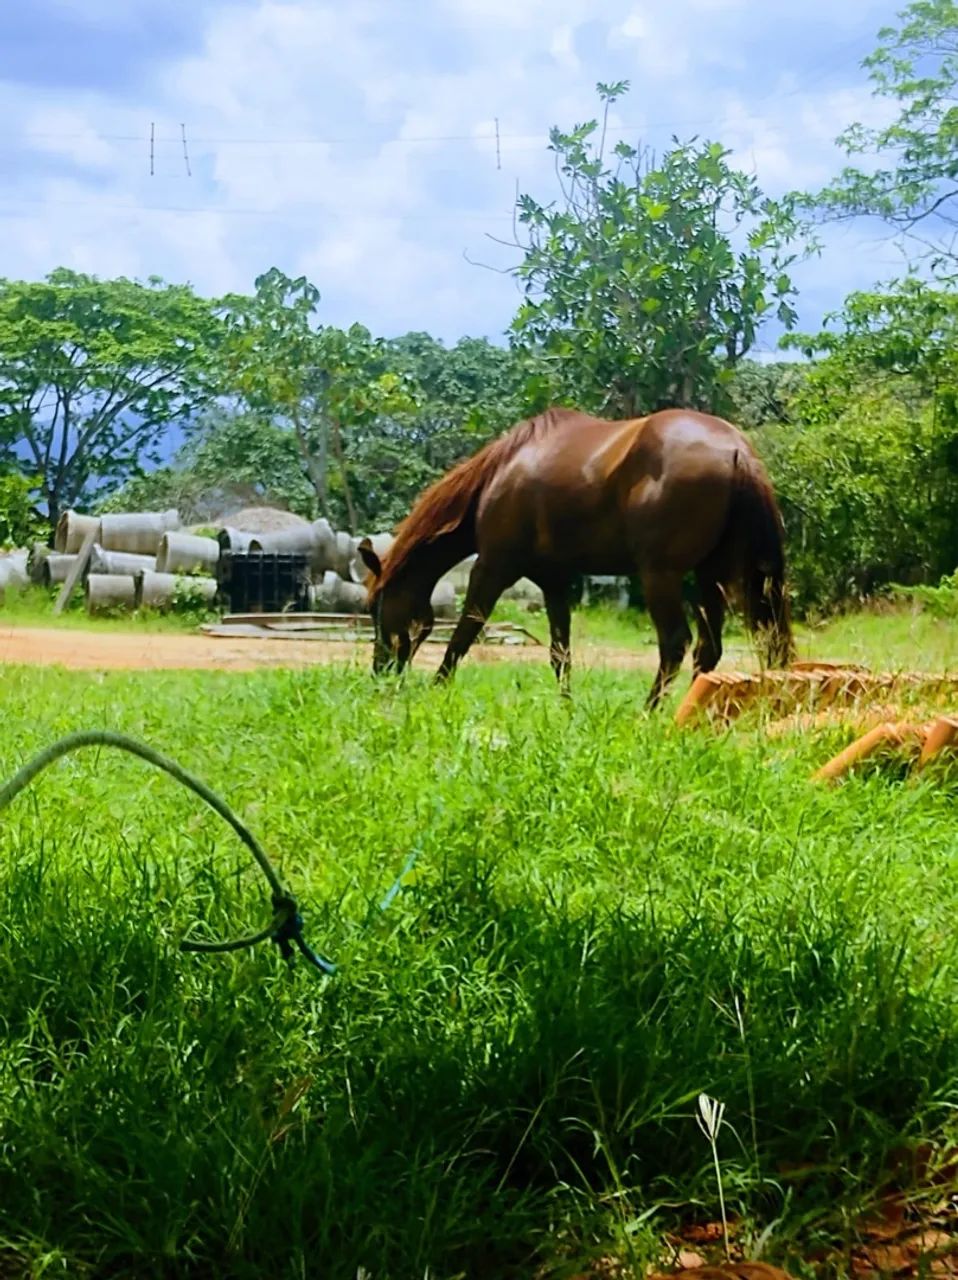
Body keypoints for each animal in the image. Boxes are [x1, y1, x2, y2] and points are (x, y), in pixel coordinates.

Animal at [358, 406, 794, 708]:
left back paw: (648, 713)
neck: (501, 474)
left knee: (675, 644)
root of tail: (736, 449)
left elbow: (464, 633)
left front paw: (437, 689)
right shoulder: (554, 579)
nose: (379, 673)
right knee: (710, 649)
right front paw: (566, 707)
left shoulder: (493, 567)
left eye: (375, 607)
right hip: (710, 577)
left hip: (662, 575)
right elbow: (559, 652)